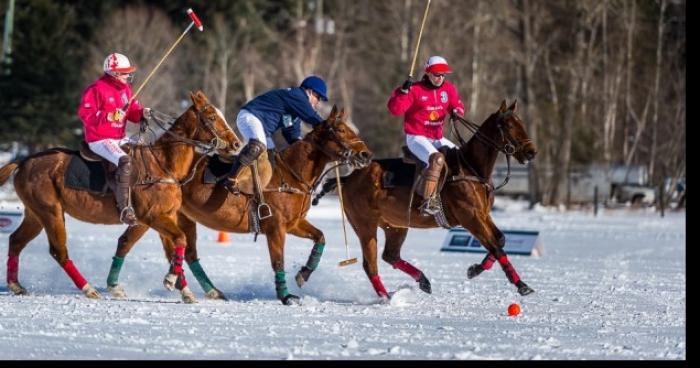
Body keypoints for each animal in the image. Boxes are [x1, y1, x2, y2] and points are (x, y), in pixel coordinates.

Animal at [0, 91, 242, 302]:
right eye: (211, 116)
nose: (236, 144)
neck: (164, 166)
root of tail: (23, 161)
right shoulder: (151, 217)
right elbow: (179, 240)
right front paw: (171, 280)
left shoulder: (162, 217)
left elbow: (166, 247)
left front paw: (184, 291)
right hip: (51, 211)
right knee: (58, 251)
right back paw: (88, 289)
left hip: (35, 213)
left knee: (16, 240)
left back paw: (16, 285)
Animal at [105, 106, 372, 304]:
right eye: (340, 129)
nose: (366, 155)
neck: (292, 174)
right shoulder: (275, 227)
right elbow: (278, 261)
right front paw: (286, 296)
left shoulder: (294, 223)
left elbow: (321, 237)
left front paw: (303, 275)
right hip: (151, 215)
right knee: (126, 242)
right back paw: (115, 286)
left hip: (179, 218)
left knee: (187, 253)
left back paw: (209, 291)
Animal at [310, 99, 536, 298]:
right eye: (508, 125)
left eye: (522, 123)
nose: (531, 152)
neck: (472, 168)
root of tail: (348, 178)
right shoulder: (470, 217)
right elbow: (495, 247)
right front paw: (522, 285)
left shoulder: (482, 214)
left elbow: (500, 239)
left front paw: (474, 269)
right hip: (365, 225)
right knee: (370, 264)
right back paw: (387, 298)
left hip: (395, 225)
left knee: (390, 255)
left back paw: (422, 281)